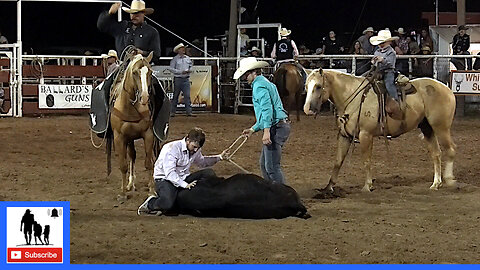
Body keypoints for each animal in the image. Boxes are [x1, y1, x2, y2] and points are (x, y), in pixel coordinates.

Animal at [304, 69, 458, 192]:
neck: (354, 97)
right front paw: (328, 187)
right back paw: (436, 183)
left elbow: (366, 161)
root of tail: (446, 88)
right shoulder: (344, 136)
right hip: (427, 128)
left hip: (441, 127)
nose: (307, 109)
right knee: (436, 154)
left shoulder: (365, 135)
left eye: (318, 86)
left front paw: (367, 186)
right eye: (306, 86)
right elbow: (338, 161)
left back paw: (449, 179)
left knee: (450, 150)